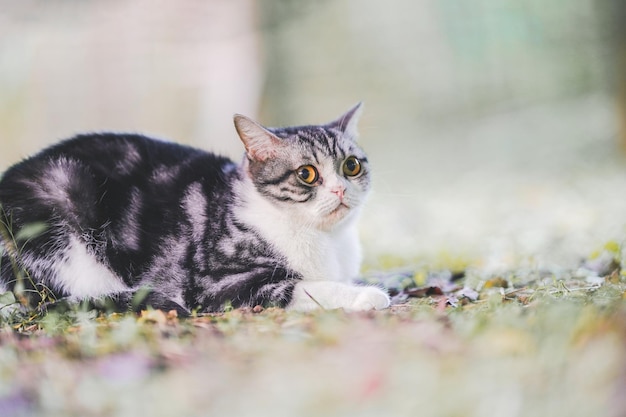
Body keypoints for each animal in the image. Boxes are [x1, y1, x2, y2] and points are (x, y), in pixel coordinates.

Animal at [0, 102, 388, 314]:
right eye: (307, 174)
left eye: (351, 166)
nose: (340, 189)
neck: (328, 242)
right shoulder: (219, 285)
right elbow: (306, 287)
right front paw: (368, 295)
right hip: (63, 197)